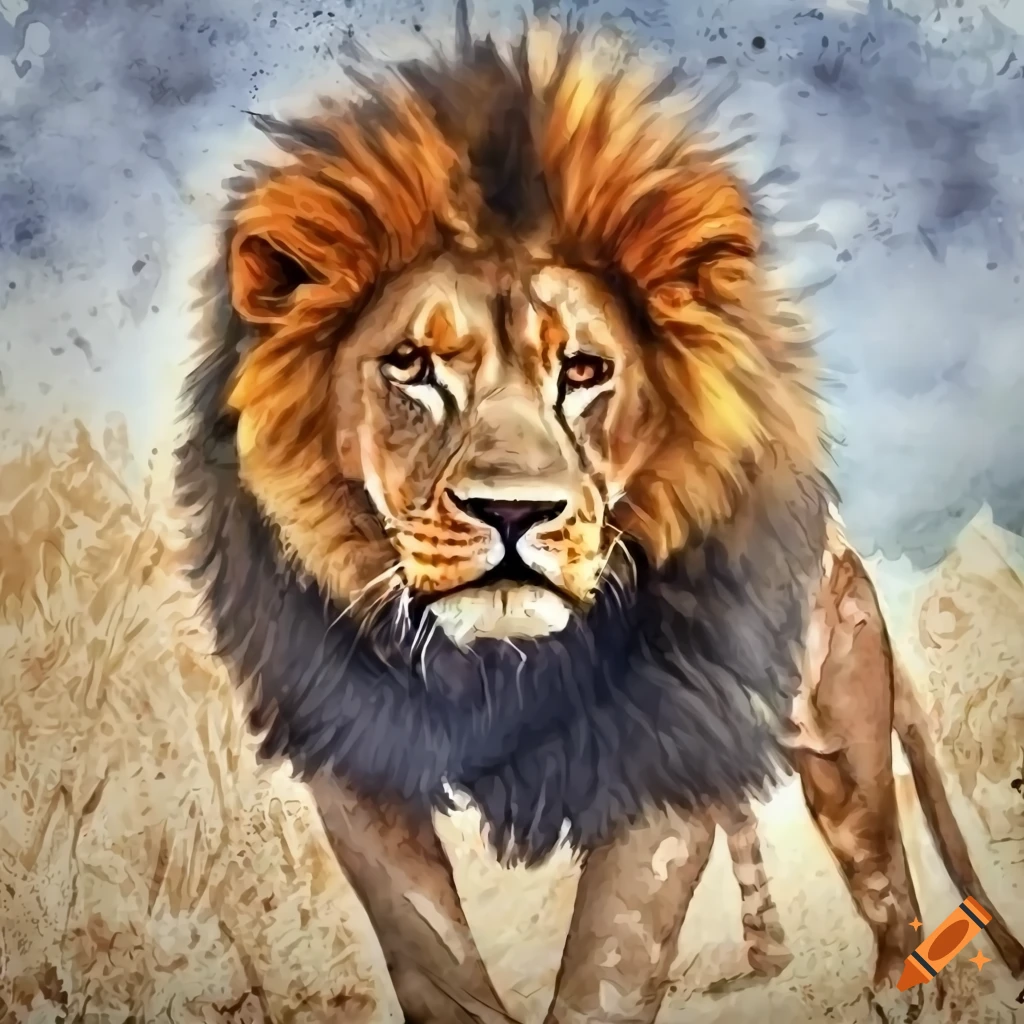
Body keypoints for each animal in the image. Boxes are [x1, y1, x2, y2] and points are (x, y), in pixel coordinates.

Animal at [174, 15, 1024, 1024]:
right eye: (412, 365)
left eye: (582, 371)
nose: (512, 510)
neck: (500, 676)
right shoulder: (357, 756)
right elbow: (432, 957)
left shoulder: (666, 743)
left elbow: (608, 968)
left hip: (843, 745)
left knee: (887, 877)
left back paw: (900, 990)